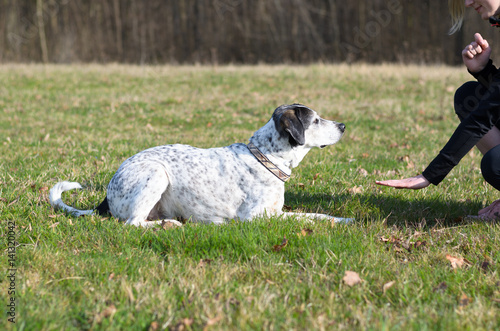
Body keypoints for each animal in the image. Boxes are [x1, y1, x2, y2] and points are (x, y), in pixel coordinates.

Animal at [48, 104, 350, 228]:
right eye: (316, 121)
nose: (343, 126)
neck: (266, 158)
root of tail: (106, 198)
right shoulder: (257, 217)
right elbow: (302, 218)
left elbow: (316, 215)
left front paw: (342, 220)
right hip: (157, 172)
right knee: (132, 224)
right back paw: (172, 225)